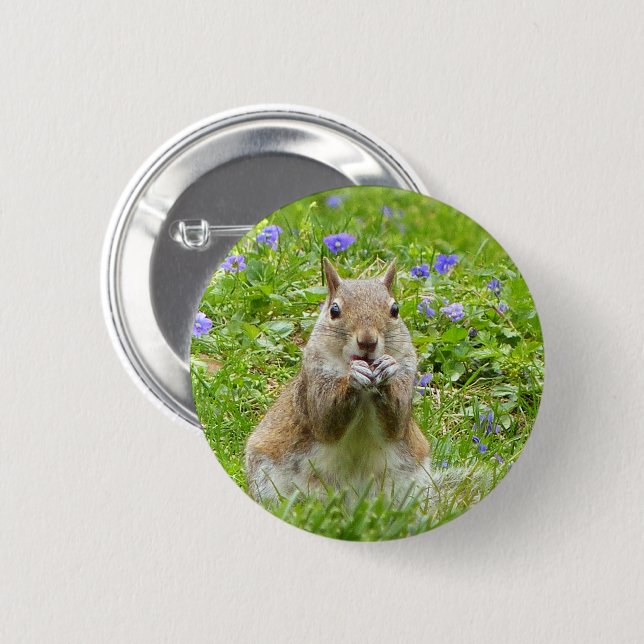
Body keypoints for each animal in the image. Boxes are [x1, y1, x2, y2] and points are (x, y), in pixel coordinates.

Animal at [245, 258, 484, 505]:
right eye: (334, 310)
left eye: (395, 310)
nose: (367, 341)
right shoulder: (313, 378)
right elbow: (324, 420)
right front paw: (353, 377)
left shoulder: (407, 371)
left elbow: (396, 423)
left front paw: (387, 368)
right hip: (267, 476)